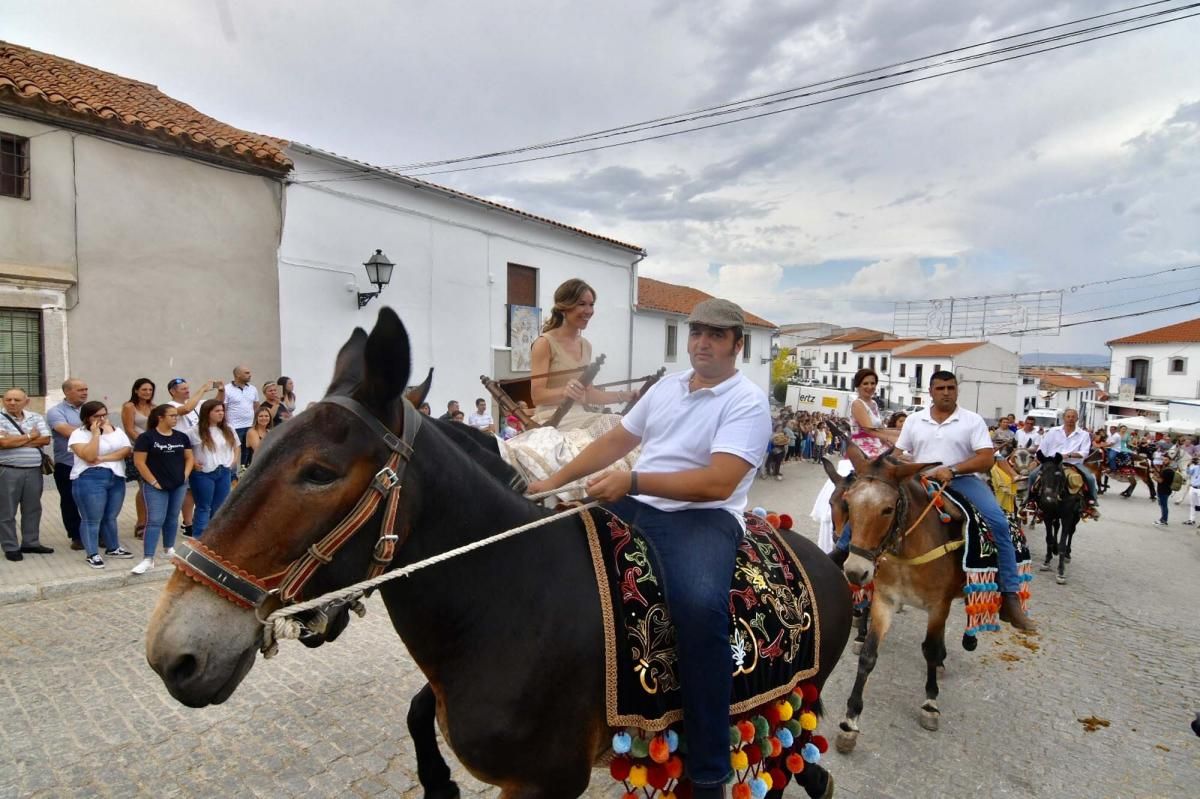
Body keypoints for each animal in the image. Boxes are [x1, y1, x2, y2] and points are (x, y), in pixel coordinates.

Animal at [142, 307, 854, 791]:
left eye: (318, 472)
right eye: (257, 446)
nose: (172, 655)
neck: (509, 599)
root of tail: (827, 563)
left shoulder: (546, 783)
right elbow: (419, 713)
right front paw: (437, 781)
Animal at [1027, 453, 1084, 585]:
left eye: (1058, 474)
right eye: (1041, 473)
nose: (1048, 500)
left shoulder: (1067, 517)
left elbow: (1063, 542)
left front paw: (1061, 572)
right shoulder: (1047, 514)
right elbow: (1048, 538)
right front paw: (1047, 561)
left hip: (1076, 516)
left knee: (1071, 532)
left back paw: (1067, 554)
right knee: (1056, 526)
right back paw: (1054, 549)